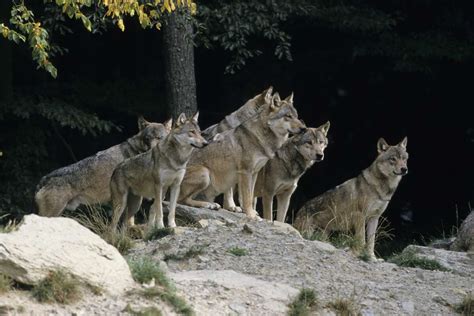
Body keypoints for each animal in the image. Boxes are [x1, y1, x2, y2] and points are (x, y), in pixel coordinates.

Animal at [179, 92, 308, 218]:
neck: (260, 138)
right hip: (205, 174)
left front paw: (251, 212)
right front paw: (250, 215)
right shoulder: (245, 171)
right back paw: (208, 205)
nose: (304, 129)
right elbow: (246, 197)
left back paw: (211, 205)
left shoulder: (254, 173)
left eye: (296, 116)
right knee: (181, 200)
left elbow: (250, 196)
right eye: (288, 116)